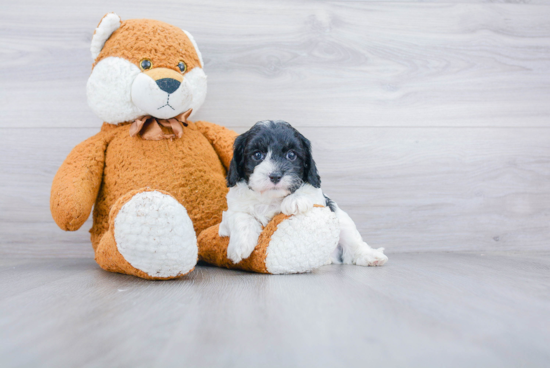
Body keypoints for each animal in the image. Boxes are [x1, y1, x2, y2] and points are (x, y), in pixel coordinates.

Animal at [218, 121, 390, 268]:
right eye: (257, 155)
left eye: (291, 155)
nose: (275, 176)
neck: (270, 198)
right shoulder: (229, 214)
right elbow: (241, 216)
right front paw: (239, 246)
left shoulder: (319, 197)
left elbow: (307, 189)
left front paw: (295, 200)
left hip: (342, 220)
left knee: (354, 243)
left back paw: (371, 256)